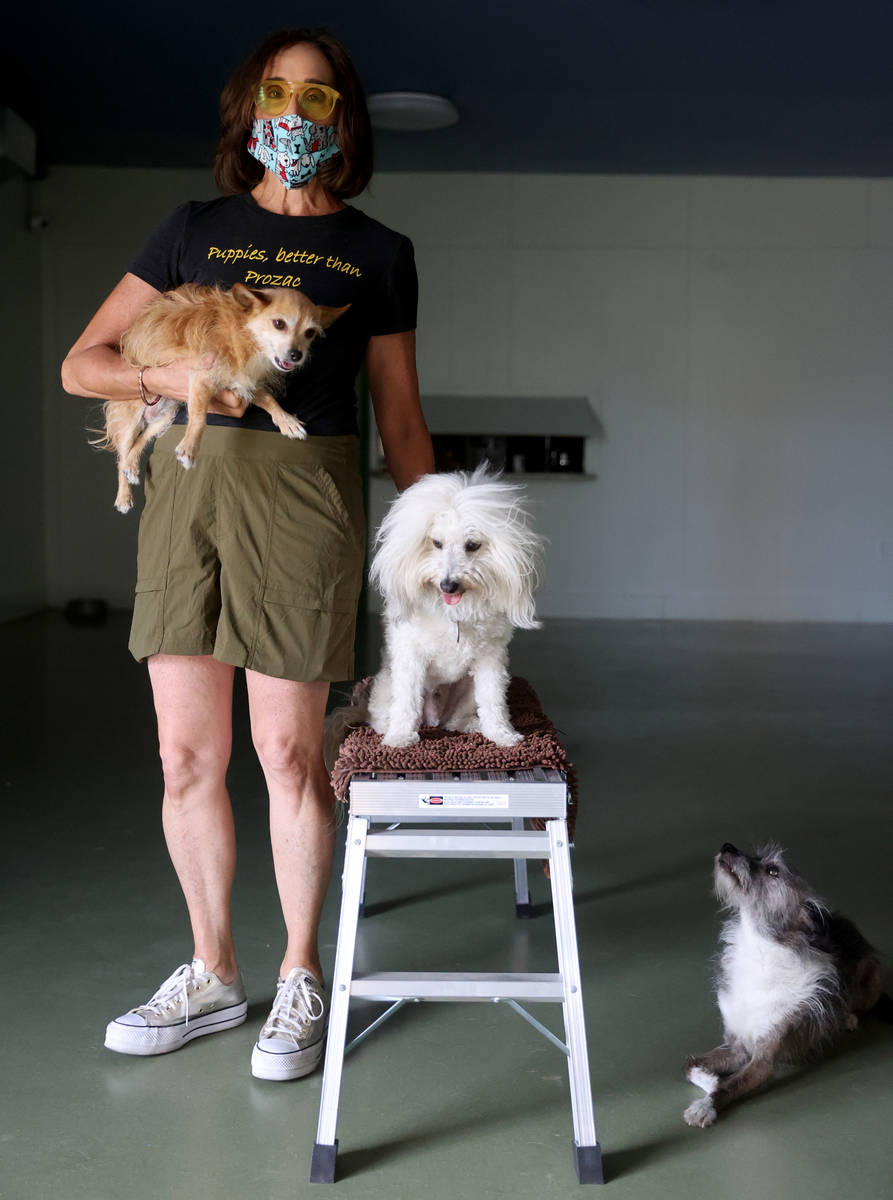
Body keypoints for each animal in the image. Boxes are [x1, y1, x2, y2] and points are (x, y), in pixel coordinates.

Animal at [96, 283, 348, 513]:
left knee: (140, 440)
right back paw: (124, 495)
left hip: (165, 415)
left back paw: (131, 465)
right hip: (131, 418)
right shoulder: (201, 378)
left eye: (310, 333)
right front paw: (189, 448)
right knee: (121, 454)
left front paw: (286, 420)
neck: (245, 335)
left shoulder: (243, 382)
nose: (297, 355)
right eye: (279, 324)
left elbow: (267, 398)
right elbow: (199, 418)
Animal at [367, 463, 540, 744]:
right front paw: (400, 738)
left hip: (466, 689)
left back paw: (468, 725)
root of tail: (434, 718)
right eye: (436, 543)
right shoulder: (410, 656)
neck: (454, 612)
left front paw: (503, 735)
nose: (448, 585)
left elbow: (493, 701)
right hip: (385, 686)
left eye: (472, 545)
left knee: (460, 716)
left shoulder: (490, 659)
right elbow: (406, 702)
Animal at [681, 844, 888, 1123]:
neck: (758, 950)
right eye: (757, 856)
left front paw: (706, 1106)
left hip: (872, 978)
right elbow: (689, 1064)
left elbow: (729, 1087)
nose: (727, 847)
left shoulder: (763, 1061)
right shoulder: (737, 1047)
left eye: (772, 870)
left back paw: (848, 1018)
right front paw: (712, 1080)